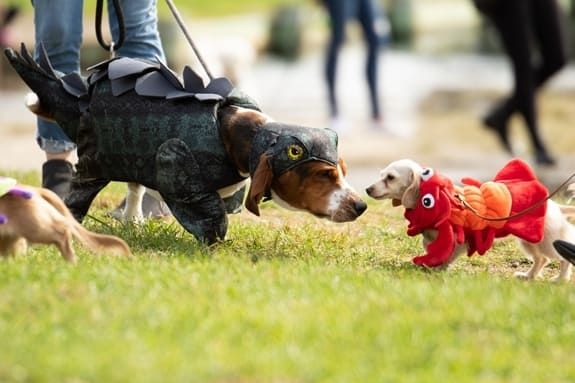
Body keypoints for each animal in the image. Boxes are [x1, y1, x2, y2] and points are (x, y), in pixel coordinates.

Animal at [366, 159, 575, 282]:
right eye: (381, 175)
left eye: (390, 177)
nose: (367, 189)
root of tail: (555, 206)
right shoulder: (433, 238)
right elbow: (433, 251)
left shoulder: (458, 242)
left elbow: (446, 257)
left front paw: (437, 270)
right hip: (530, 241)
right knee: (541, 259)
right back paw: (528, 276)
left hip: (548, 241)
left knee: (561, 258)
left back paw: (560, 279)